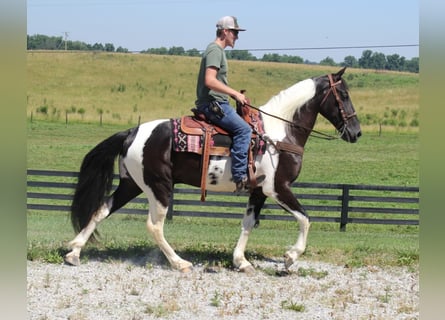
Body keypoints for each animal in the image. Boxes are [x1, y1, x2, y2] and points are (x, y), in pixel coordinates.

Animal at [63, 67, 360, 272]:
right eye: (344, 95)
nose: (356, 132)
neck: (279, 134)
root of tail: (132, 132)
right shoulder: (277, 188)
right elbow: (305, 218)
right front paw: (290, 257)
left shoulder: (259, 191)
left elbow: (248, 223)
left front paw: (241, 261)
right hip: (159, 186)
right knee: (154, 226)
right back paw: (179, 263)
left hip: (132, 184)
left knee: (101, 210)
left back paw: (74, 252)